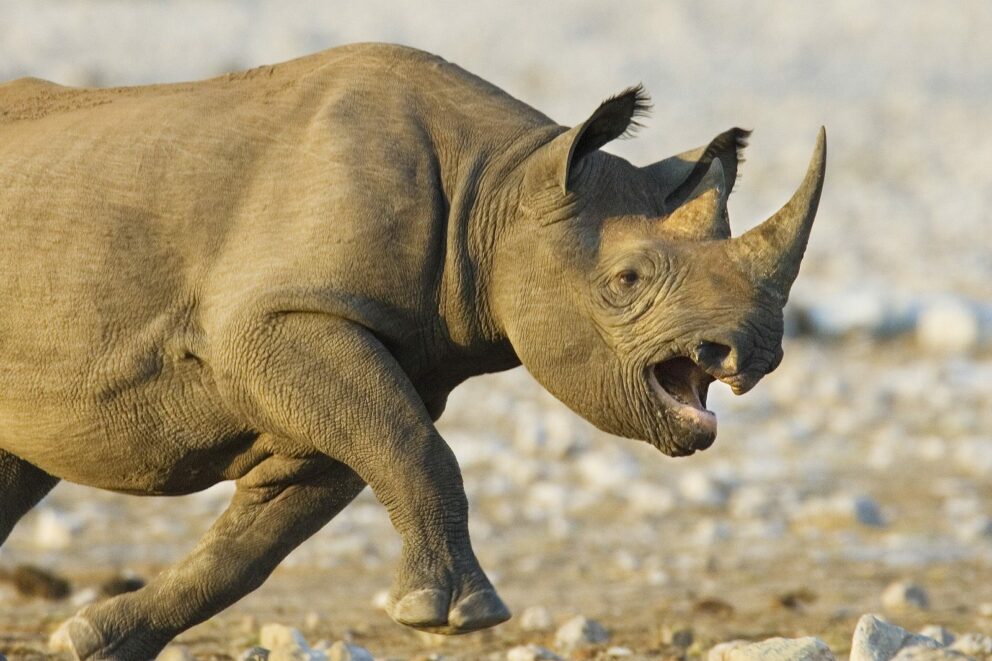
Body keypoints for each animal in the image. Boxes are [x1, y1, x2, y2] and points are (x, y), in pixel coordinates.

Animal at [0, 43, 825, 659]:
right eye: (627, 280)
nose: (754, 350)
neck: (501, 188)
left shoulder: (352, 362)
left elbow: (256, 542)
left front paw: (93, 640)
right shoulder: (281, 319)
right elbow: (418, 450)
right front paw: (457, 615)